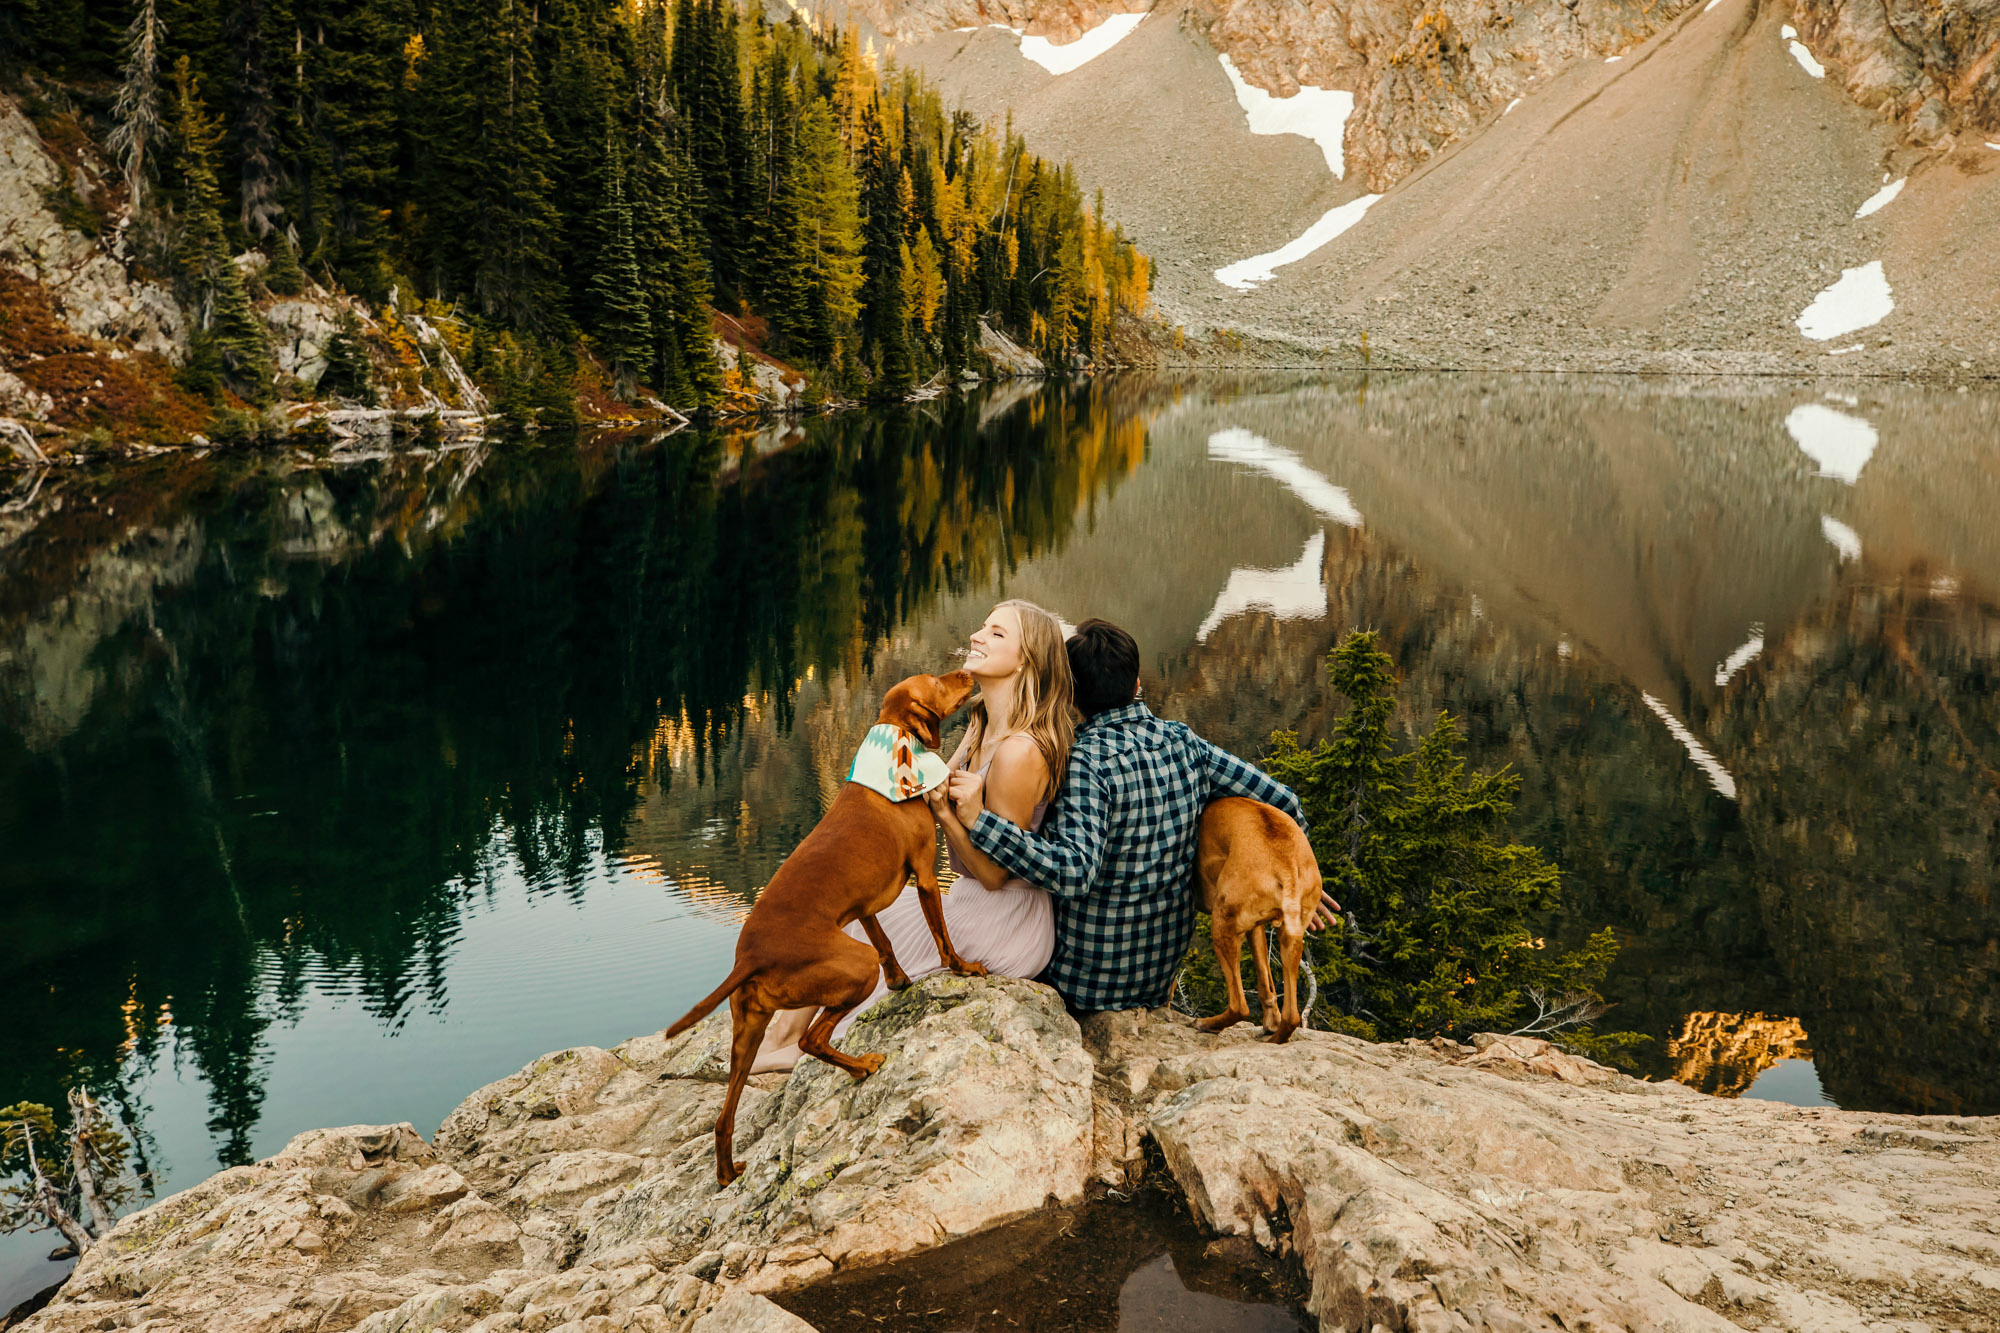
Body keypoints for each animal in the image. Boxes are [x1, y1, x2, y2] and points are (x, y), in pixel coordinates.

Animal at [664, 668, 984, 1176]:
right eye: (936, 682)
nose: (969, 670)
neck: (892, 752)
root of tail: (748, 957)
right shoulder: (927, 875)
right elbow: (943, 939)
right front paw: (964, 969)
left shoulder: (864, 907)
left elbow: (887, 943)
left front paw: (900, 982)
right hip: (853, 967)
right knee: (809, 1040)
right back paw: (863, 1066)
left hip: (748, 1033)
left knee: (723, 1116)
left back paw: (728, 1174)